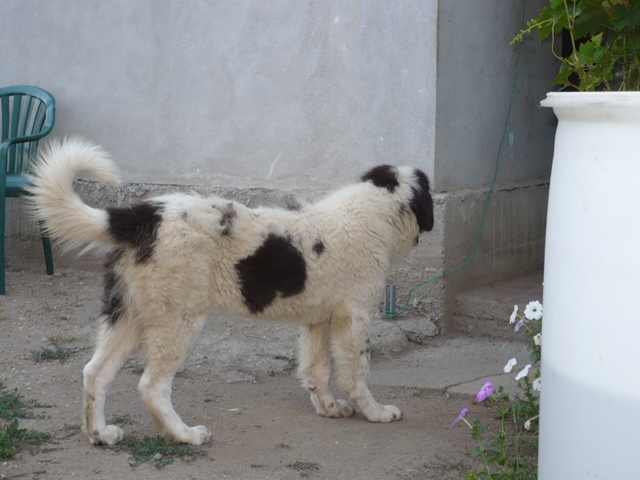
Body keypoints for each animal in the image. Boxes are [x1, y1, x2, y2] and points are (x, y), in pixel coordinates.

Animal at [27, 138, 432, 446]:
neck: (370, 213)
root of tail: (144, 217)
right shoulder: (354, 318)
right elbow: (357, 371)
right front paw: (376, 412)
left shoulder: (317, 321)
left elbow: (317, 370)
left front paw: (330, 409)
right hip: (177, 322)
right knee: (151, 386)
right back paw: (186, 435)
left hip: (129, 315)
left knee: (94, 372)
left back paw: (101, 434)